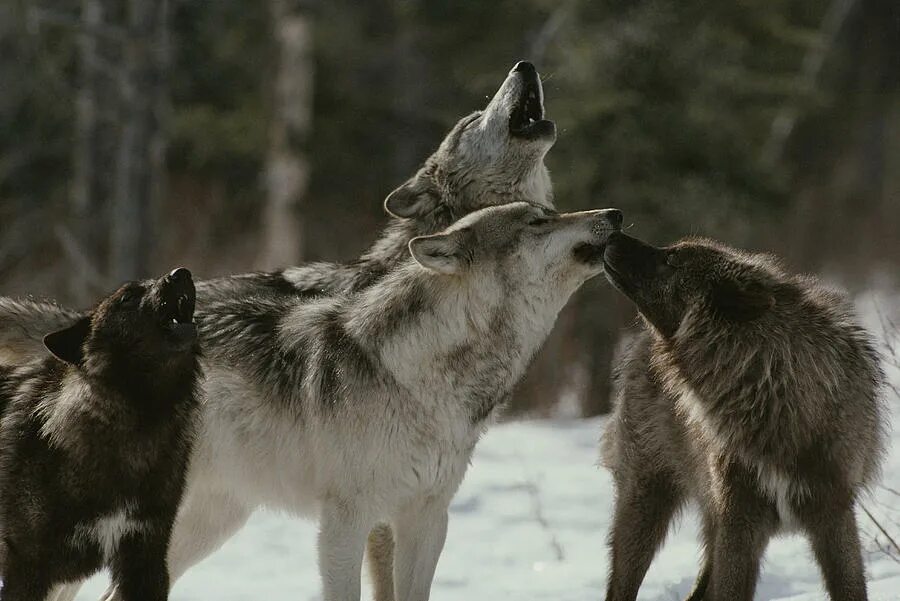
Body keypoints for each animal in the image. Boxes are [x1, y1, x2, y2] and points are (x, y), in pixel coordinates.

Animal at [596, 233, 884, 600]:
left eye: (671, 261)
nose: (611, 234)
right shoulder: (740, 523)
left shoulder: (834, 515)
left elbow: (851, 587)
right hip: (646, 504)